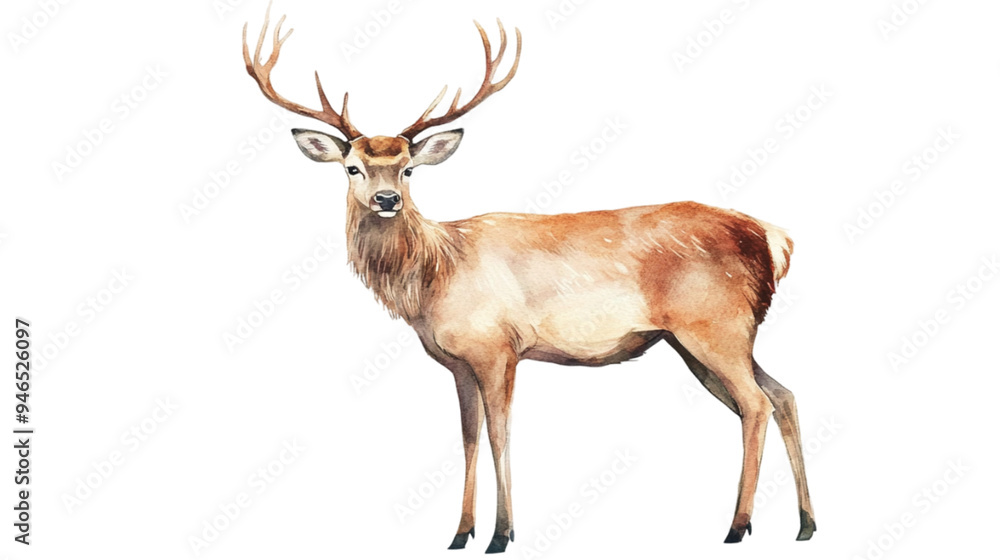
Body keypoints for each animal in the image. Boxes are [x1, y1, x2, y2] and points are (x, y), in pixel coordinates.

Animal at [243, 4, 816, 553]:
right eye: (352, 168)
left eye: (408, 168)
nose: (387, 200)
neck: (433, 276)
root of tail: (775, 239)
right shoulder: (457, 362)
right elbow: (468, 438)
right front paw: (460, 533)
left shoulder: (498, 347)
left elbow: (501, 435)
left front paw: (502, 534)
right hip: (710, 337)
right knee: (782, 395)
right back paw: (805, 525)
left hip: (713, 325)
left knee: (756, 403)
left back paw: (738, 526)